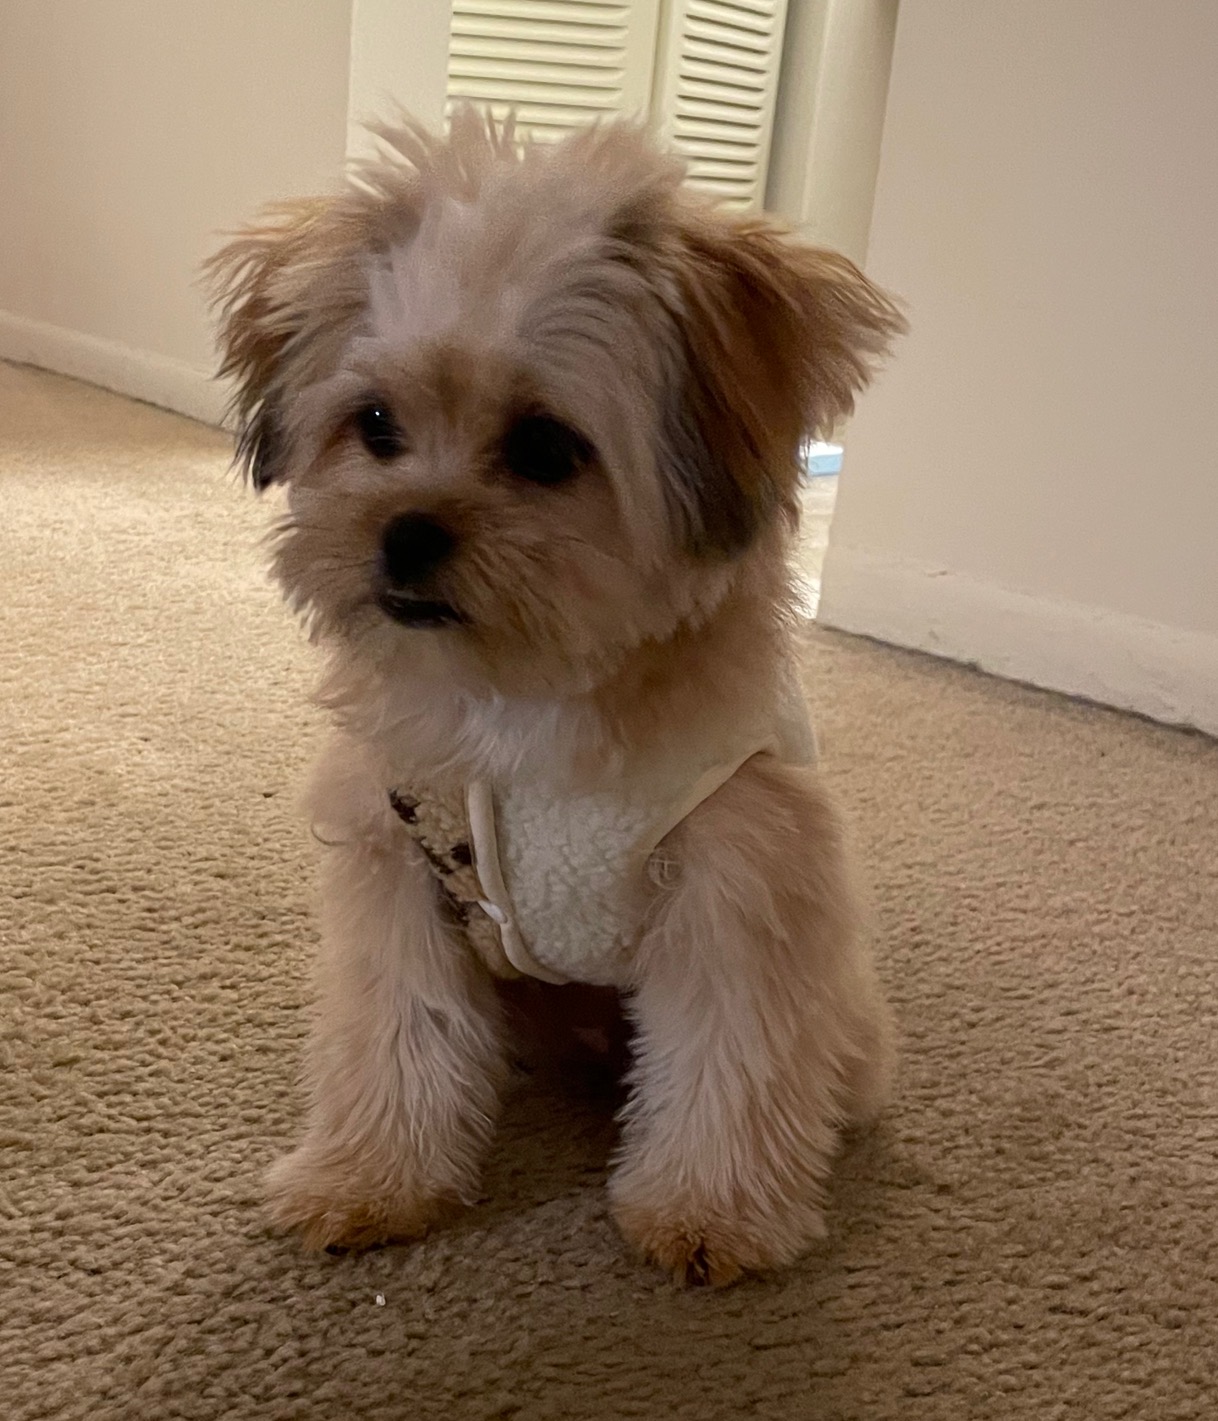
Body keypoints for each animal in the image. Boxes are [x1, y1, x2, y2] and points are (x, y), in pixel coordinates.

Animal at [206, 110, 903, 1290]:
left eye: (543, 446)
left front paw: (710, 1209)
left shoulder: (738, 877)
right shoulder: (400, 868)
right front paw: (370, 1176)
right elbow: (396, 1034)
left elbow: (730, 1057)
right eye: (375, 423)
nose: (403, 533)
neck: (522, 694)